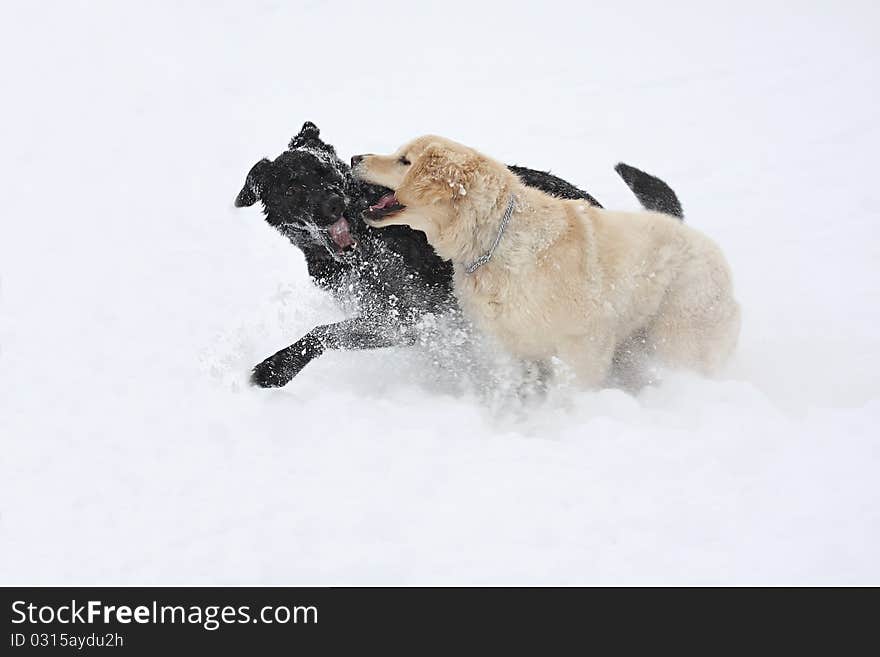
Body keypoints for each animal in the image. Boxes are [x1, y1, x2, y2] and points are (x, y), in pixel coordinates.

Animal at [235, 121, 680, 386]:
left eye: (329, 172)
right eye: (294, 187)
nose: (334, 204)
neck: (364, 245)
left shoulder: (408, 318)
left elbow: (325, 332)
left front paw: (275, 368)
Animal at [354, 136, 740, 386]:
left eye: (405, 160)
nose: (357, 157)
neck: (495, 237)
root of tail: (702, 240)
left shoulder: (583, 344)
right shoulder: (517, 346)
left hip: (677, 339)